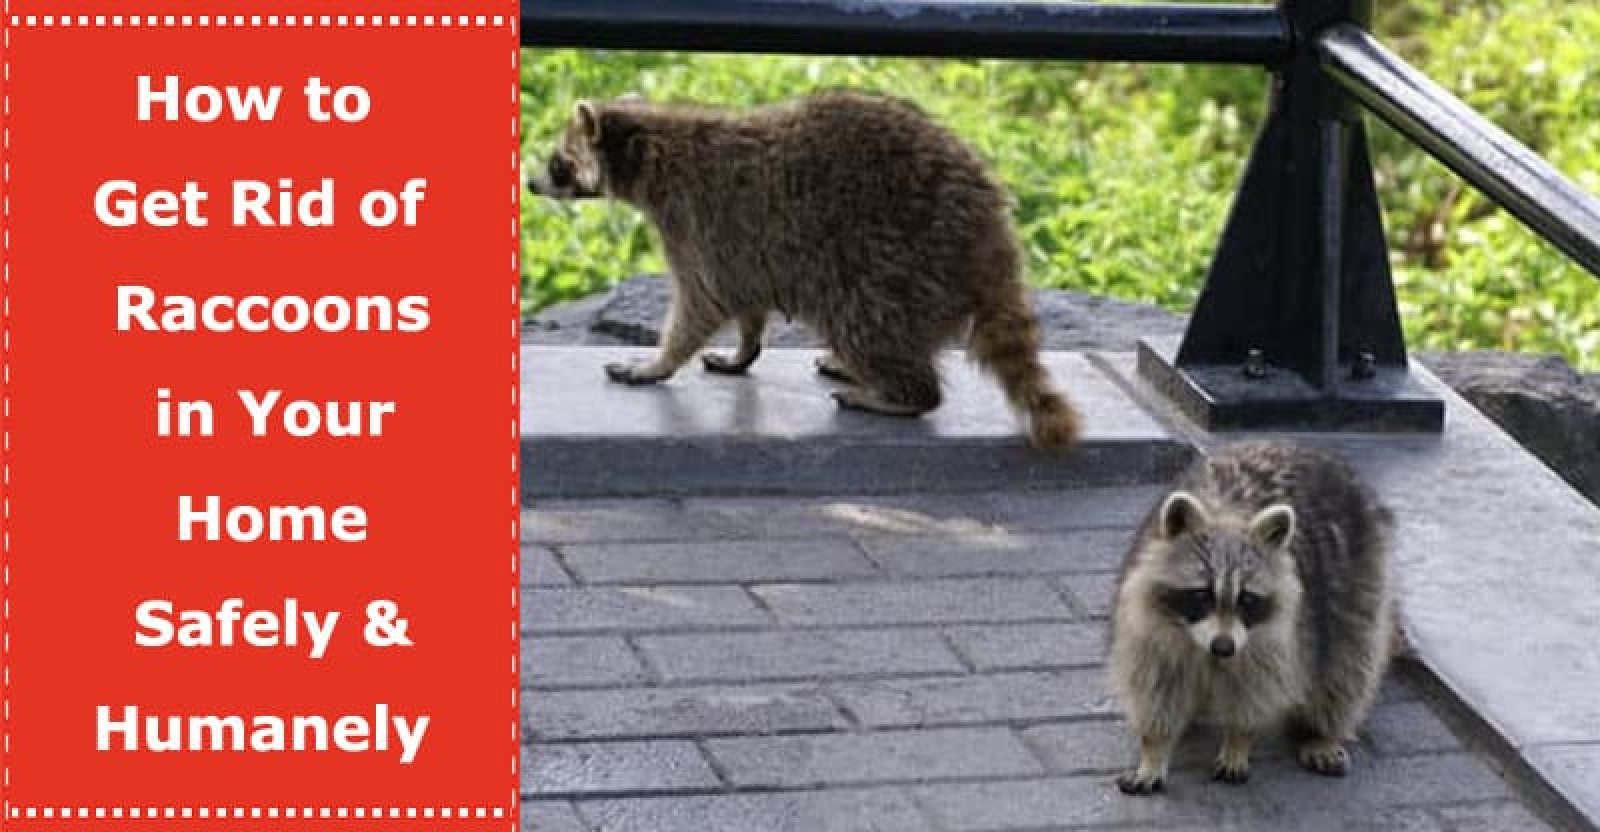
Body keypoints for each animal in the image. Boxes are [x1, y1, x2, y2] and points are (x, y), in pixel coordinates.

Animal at [526, 90, 1079, 450]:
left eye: (557, 162)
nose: (531, 185)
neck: (653, 146)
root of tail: (993, 239)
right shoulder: (740, 246)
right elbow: (744, 298)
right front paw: (745, 348)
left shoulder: (696, 221)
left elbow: (701, 301)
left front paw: (658, 362)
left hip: (899, 257)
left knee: (862, 319)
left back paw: (902, 394)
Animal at [1107, 440, 1394, 794]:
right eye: (1202, 594)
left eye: (1246, 598)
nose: (1224, 647)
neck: (1228, 513)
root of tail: (1296, 443)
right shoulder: (1150, 623)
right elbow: (1156, 684)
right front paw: (1154, 749)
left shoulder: (1278, 635)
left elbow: (1257, 685)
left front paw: (1238, 740)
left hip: (1358, 578)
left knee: (1348, 662)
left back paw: (1319, 732)